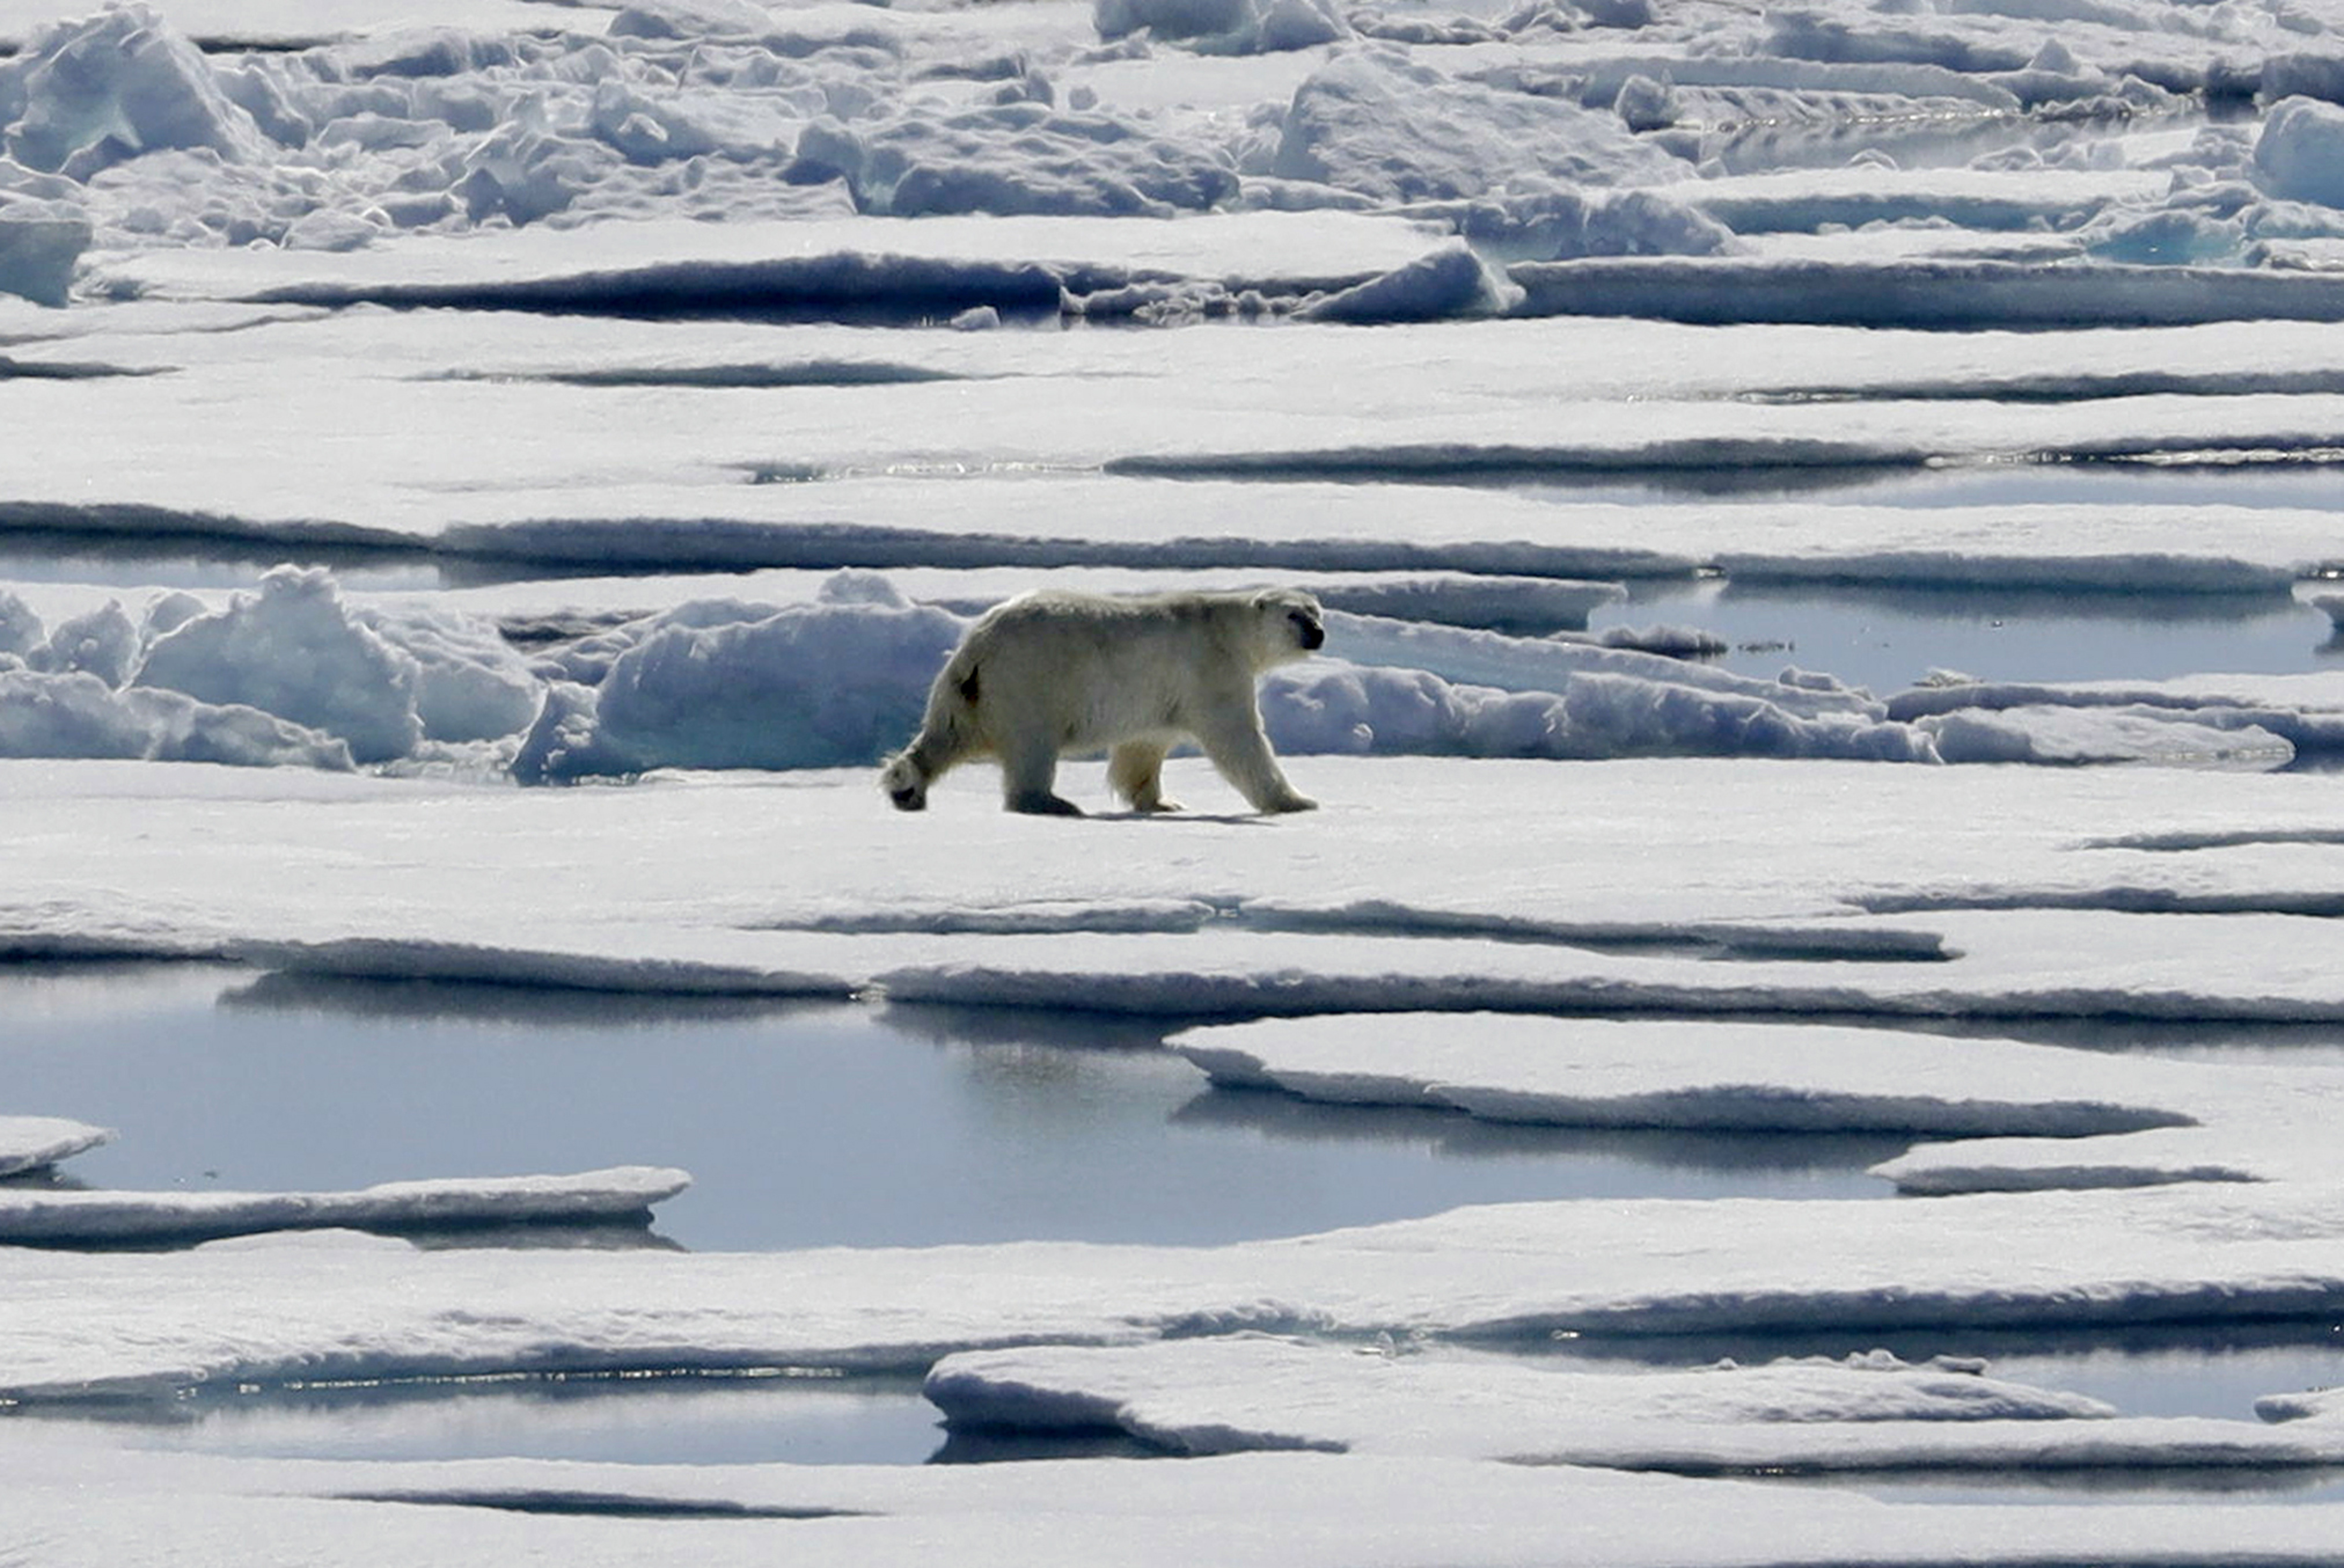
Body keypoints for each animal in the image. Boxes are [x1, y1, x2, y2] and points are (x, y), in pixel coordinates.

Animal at [881, 581, 1331, 816]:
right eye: (1294, 615)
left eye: (1316, 611)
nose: (1318, 634)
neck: (1228, 629)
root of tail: (979, 643)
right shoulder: (1211, 669)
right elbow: (1239, 739)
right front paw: (1296, 801)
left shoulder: (1161, 695)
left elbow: (1144, 747)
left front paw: (1162, 803)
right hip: (1031, 680)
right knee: (1032, 746)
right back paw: (1052, 802)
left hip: (967, 692)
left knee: (947, 735)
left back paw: (906, 788)